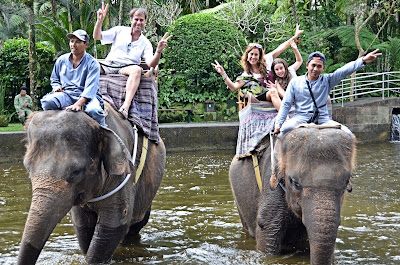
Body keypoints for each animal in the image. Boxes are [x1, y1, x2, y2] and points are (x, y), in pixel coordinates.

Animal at [16, 100, 166, 262]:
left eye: (76, 172)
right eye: (28, 168)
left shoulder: (123, 175)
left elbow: (114, 223)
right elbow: (82, 226)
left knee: (136, 226)